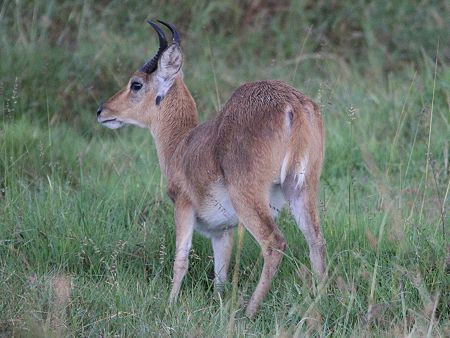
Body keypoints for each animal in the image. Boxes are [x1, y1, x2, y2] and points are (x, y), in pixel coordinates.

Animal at [96, 20, 326, 316]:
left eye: (136, 84)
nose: (102, 111)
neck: (181, 145)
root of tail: (293, 105)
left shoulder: (182, 206)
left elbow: (181, 259)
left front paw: (170, 304)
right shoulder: (222, 230)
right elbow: (221, 273)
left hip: (249, 197)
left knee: (275, 243)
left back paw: (249, 311)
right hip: (301, 188)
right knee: (316, 241)